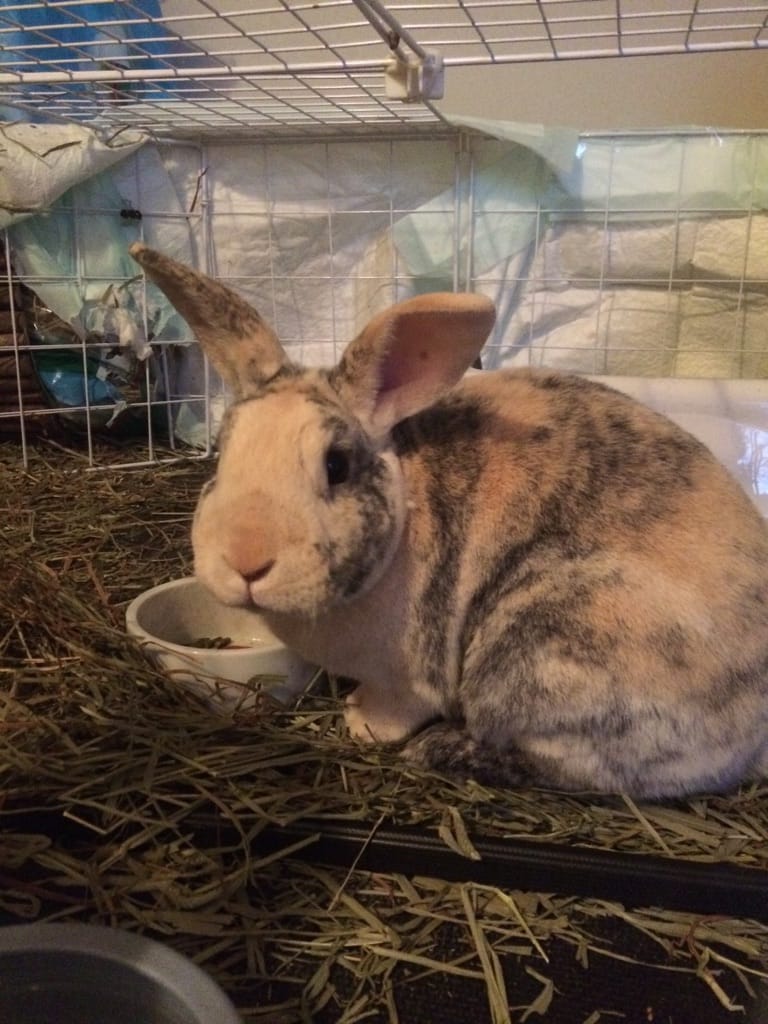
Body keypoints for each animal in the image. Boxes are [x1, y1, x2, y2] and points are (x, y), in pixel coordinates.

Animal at [130, 241, 768, 799]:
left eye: (337, 465)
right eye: (221, 453)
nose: (245, 561)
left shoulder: (411, 677)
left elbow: (399, 706)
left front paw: (361, 723)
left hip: (540, 644)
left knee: (575, 770)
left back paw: (441, 750)